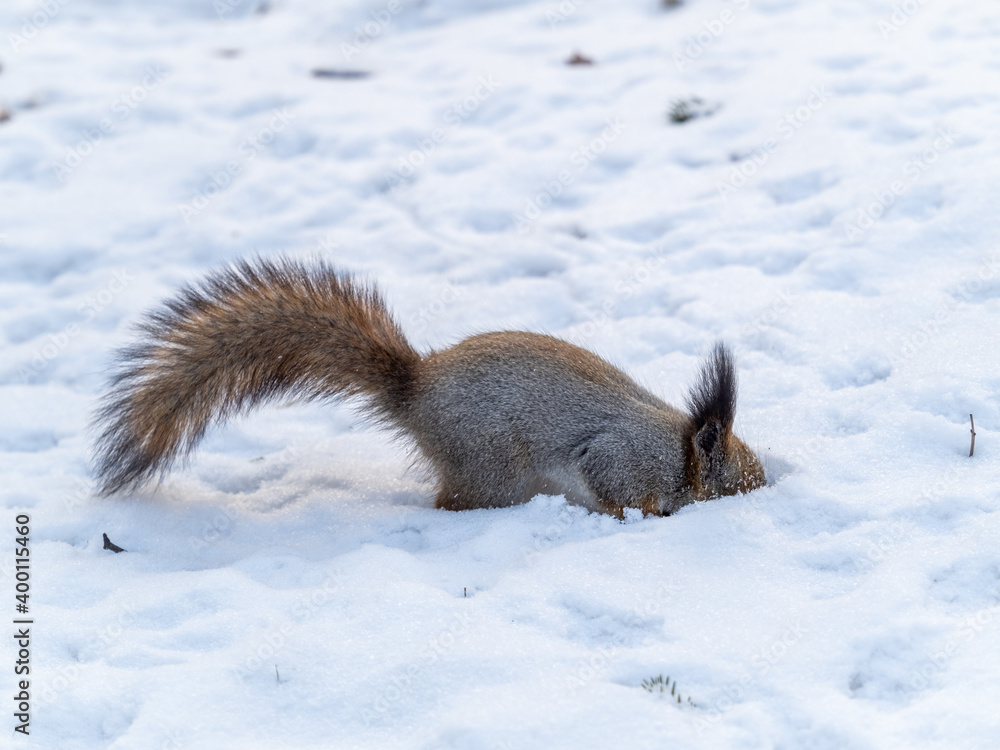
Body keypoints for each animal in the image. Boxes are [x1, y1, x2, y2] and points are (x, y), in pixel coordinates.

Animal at [92, 258, 765, 516]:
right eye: (734, 484)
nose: (762, 497)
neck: (679, 449)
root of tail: (417, 391)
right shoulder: (624, 458)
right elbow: (617, 488)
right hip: (492, 468)